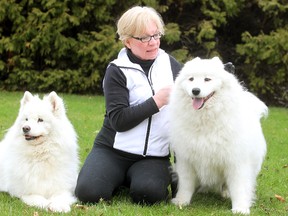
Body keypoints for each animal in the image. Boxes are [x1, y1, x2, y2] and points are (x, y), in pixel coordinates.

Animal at [169, 57, 268, 214]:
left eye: (207, 79)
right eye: (191, 79)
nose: (195, 91)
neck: (205, 119)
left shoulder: (236, 161)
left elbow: (239, 186)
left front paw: (240, 208)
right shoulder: (186, 158)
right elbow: (185, 183)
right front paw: (181, 201)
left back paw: (226, 193)